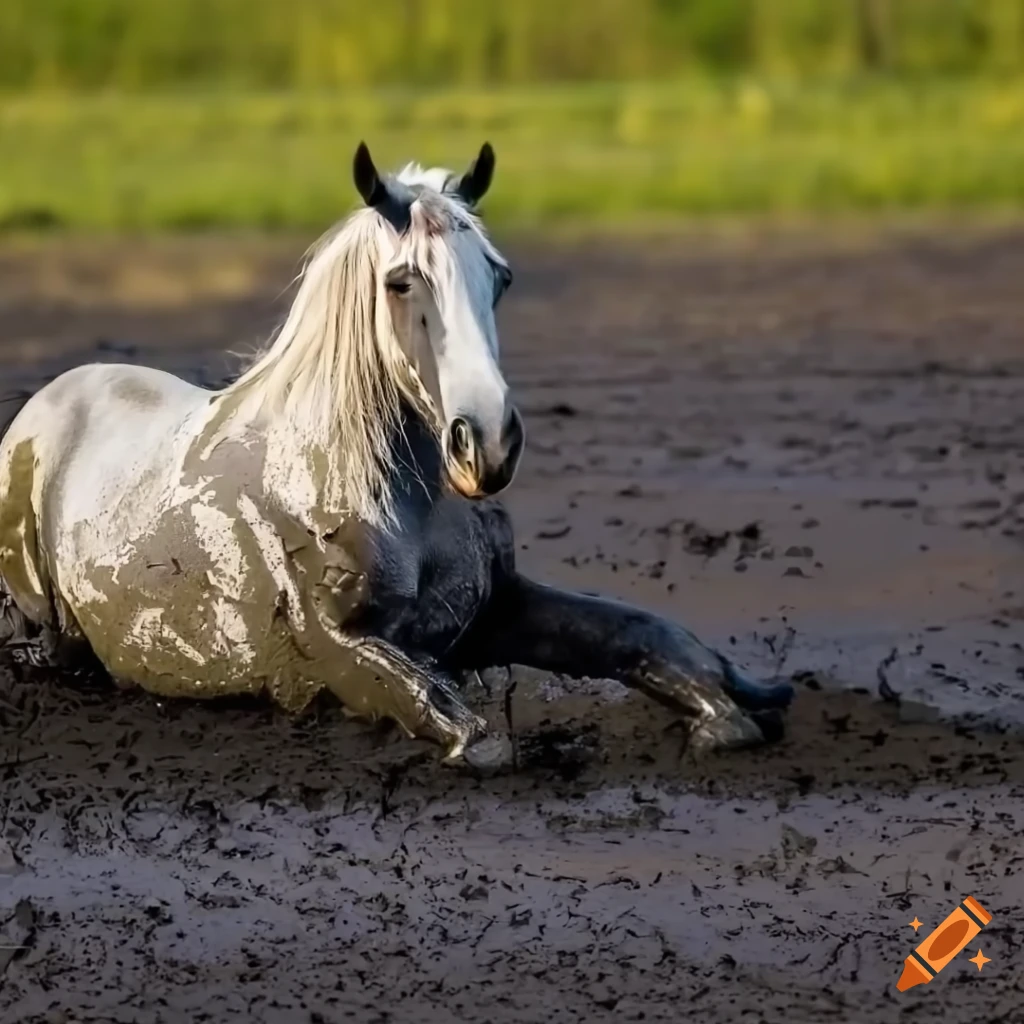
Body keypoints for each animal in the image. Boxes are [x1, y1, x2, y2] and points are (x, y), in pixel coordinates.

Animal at [0, 142, 793, 770]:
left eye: (500, 277)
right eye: (401, 280)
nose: (488, 444)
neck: (380, 491)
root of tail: (49, 398)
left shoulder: (498, 605)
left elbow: (642, 632)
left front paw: (733, 709)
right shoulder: (338, 648)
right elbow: (465, 728)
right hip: (45, 625)